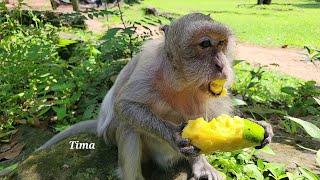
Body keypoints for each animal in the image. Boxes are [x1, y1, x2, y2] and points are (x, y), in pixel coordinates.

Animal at [37, 13, 272, 180]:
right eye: (205, 44)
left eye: (222, 44)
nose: (222, 65)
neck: (181, 79)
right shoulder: (149, 66)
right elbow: (125, 106)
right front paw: (173, 135)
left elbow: (210, 118)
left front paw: (260, 126)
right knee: (127, 125)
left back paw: (198, 163)